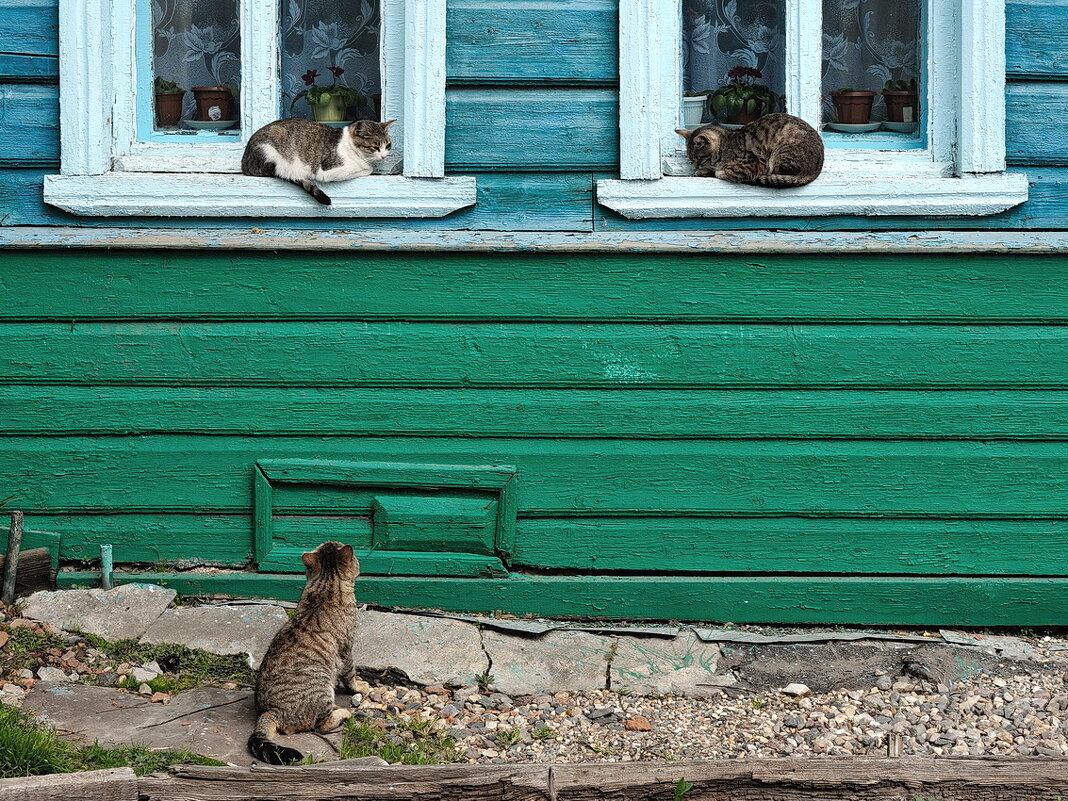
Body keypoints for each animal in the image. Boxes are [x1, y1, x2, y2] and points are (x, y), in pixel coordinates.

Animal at [240, 120, 395, 208]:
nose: (383, 156)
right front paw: (368, 166)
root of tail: (244, 162)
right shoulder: (327, 171)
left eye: (388, 145)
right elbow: (366, 168)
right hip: (274, 154)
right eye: (375, 147)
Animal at [246, 542, 360, 768]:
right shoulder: (347, 651)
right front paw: (361, 687)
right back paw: (343, 712)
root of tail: (271, 711)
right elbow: (351, 676)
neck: (326, 586)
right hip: (322, 689)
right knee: (321, 724)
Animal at [674, 113, 824, 187]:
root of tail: (817, 170)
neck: (726, 144)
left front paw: (714, 170)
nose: (696, 165)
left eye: (699, 158)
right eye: (691, 160)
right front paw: (704, 170)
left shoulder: (754, 165)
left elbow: (723, 172)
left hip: (781, 153)